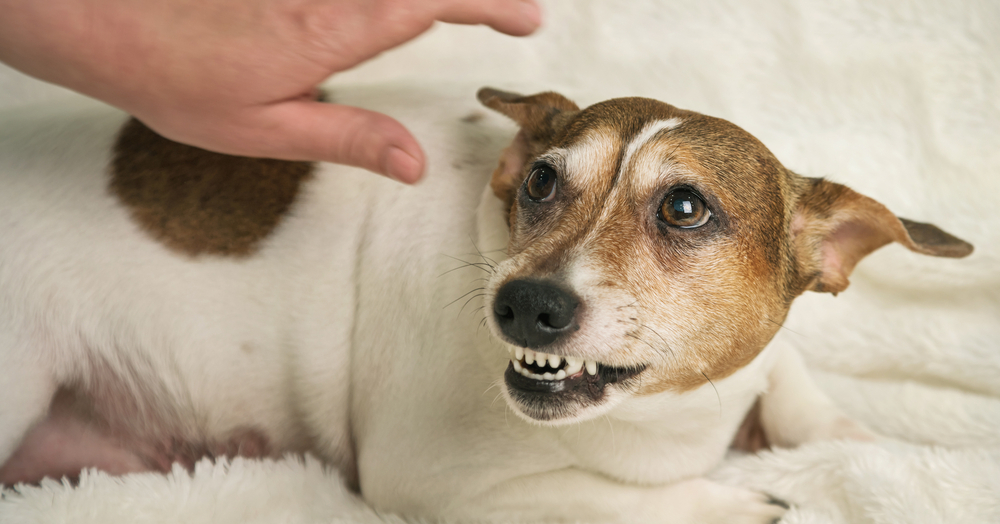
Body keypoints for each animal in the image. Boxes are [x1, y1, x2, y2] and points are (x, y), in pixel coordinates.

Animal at [0, 88, 968, 520]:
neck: (666, 417)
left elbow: (802, 393)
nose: (525, 303)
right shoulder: (437, 481)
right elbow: (602, 497)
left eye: (685, 208)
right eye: (540, 181)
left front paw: (855, 442)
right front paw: (733, 502)